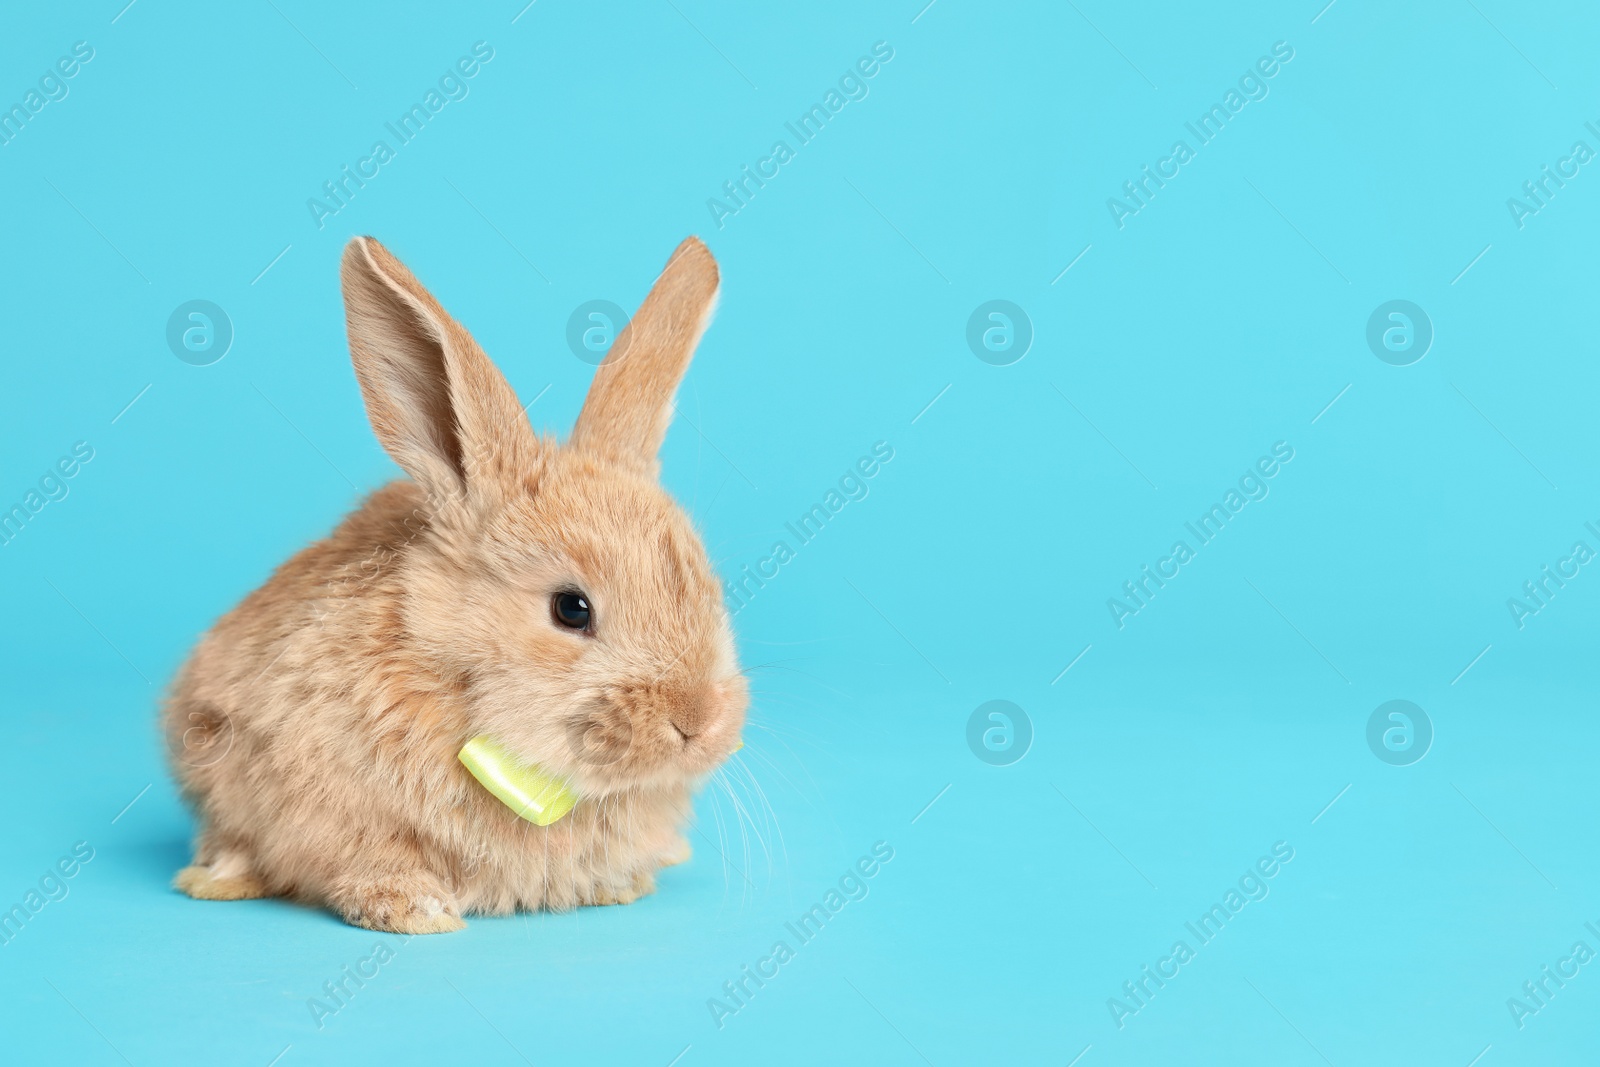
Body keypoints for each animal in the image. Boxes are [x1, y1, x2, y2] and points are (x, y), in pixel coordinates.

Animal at [159, 235, 745, 934]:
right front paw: (414, 910)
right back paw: (218, 878)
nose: (699, 723)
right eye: (571, 609)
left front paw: (624, 884)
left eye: (707, 589)